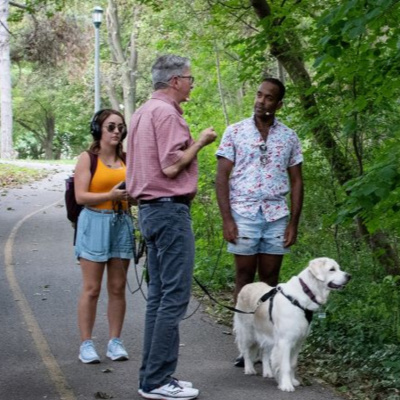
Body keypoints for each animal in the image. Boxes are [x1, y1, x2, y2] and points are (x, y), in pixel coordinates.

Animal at [234, 258, 350, 392]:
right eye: (332, 269)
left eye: (339, 268)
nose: (349, 276)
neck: (305, 294)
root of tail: (247, 286)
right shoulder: (285, 341)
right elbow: (285, 365)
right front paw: (286, 384)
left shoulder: (299, 341)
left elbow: (293, 364)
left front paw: (293, 380)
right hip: (247, 331)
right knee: (246, 350)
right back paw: (249, 369)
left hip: (268, 334)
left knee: (265, 353)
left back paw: (268, 372)